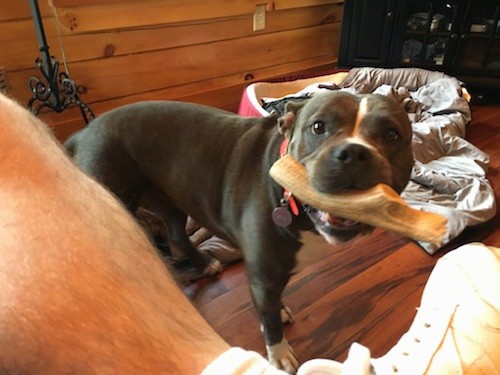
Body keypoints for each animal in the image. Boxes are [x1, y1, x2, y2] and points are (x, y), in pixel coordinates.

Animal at [63, 90, 414, 374]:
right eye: (318, 127)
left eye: (392, 134)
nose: (353, 152)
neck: (292, 201)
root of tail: (82, 133)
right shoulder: (263, 276)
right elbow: (269, 322)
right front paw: (279, 353)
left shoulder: (269, 276)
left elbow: (272, 304)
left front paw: (278, 309)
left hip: (172, 202)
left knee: (177, 235)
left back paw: (203, 263)